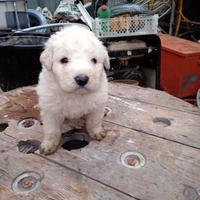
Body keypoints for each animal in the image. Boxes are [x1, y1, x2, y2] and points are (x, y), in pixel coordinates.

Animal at [36, 24, 110, 155]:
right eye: (64, 60)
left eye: (94, 60)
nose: (82, 79)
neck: (75, 95)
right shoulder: (50, 110)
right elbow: (52, 130)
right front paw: (49, 144)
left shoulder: (97, 105)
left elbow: (94, 121)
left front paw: (96, 132)